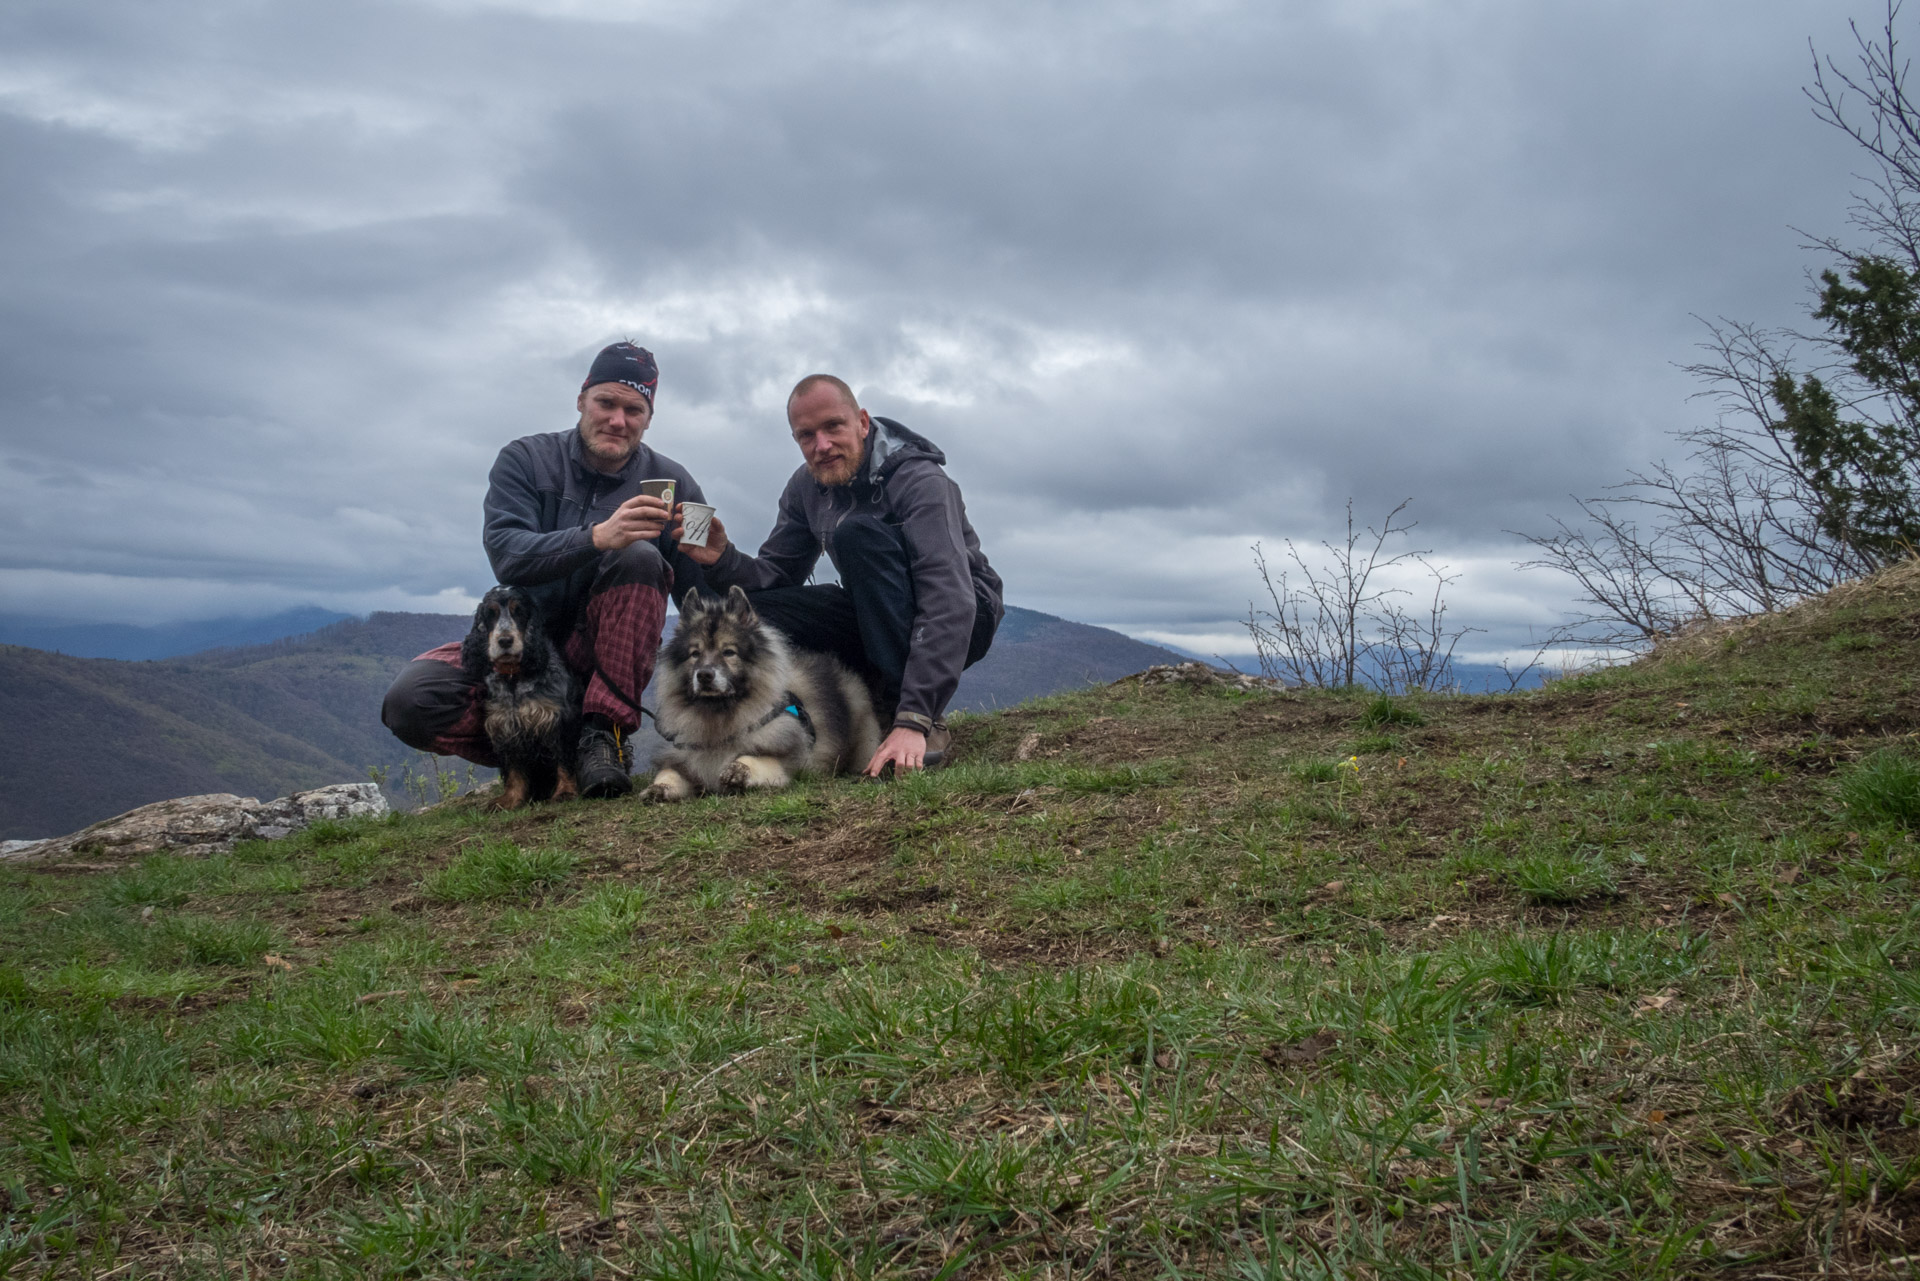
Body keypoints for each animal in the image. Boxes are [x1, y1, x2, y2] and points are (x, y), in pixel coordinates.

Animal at [645, 587, 883, 802]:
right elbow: (669, 773)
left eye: (729, 652)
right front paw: (658, 788)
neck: (718, 719)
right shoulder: (683, 759)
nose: (704, 675)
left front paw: (737, 769)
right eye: (695, 654)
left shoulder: (789, 762)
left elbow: (754, 758)